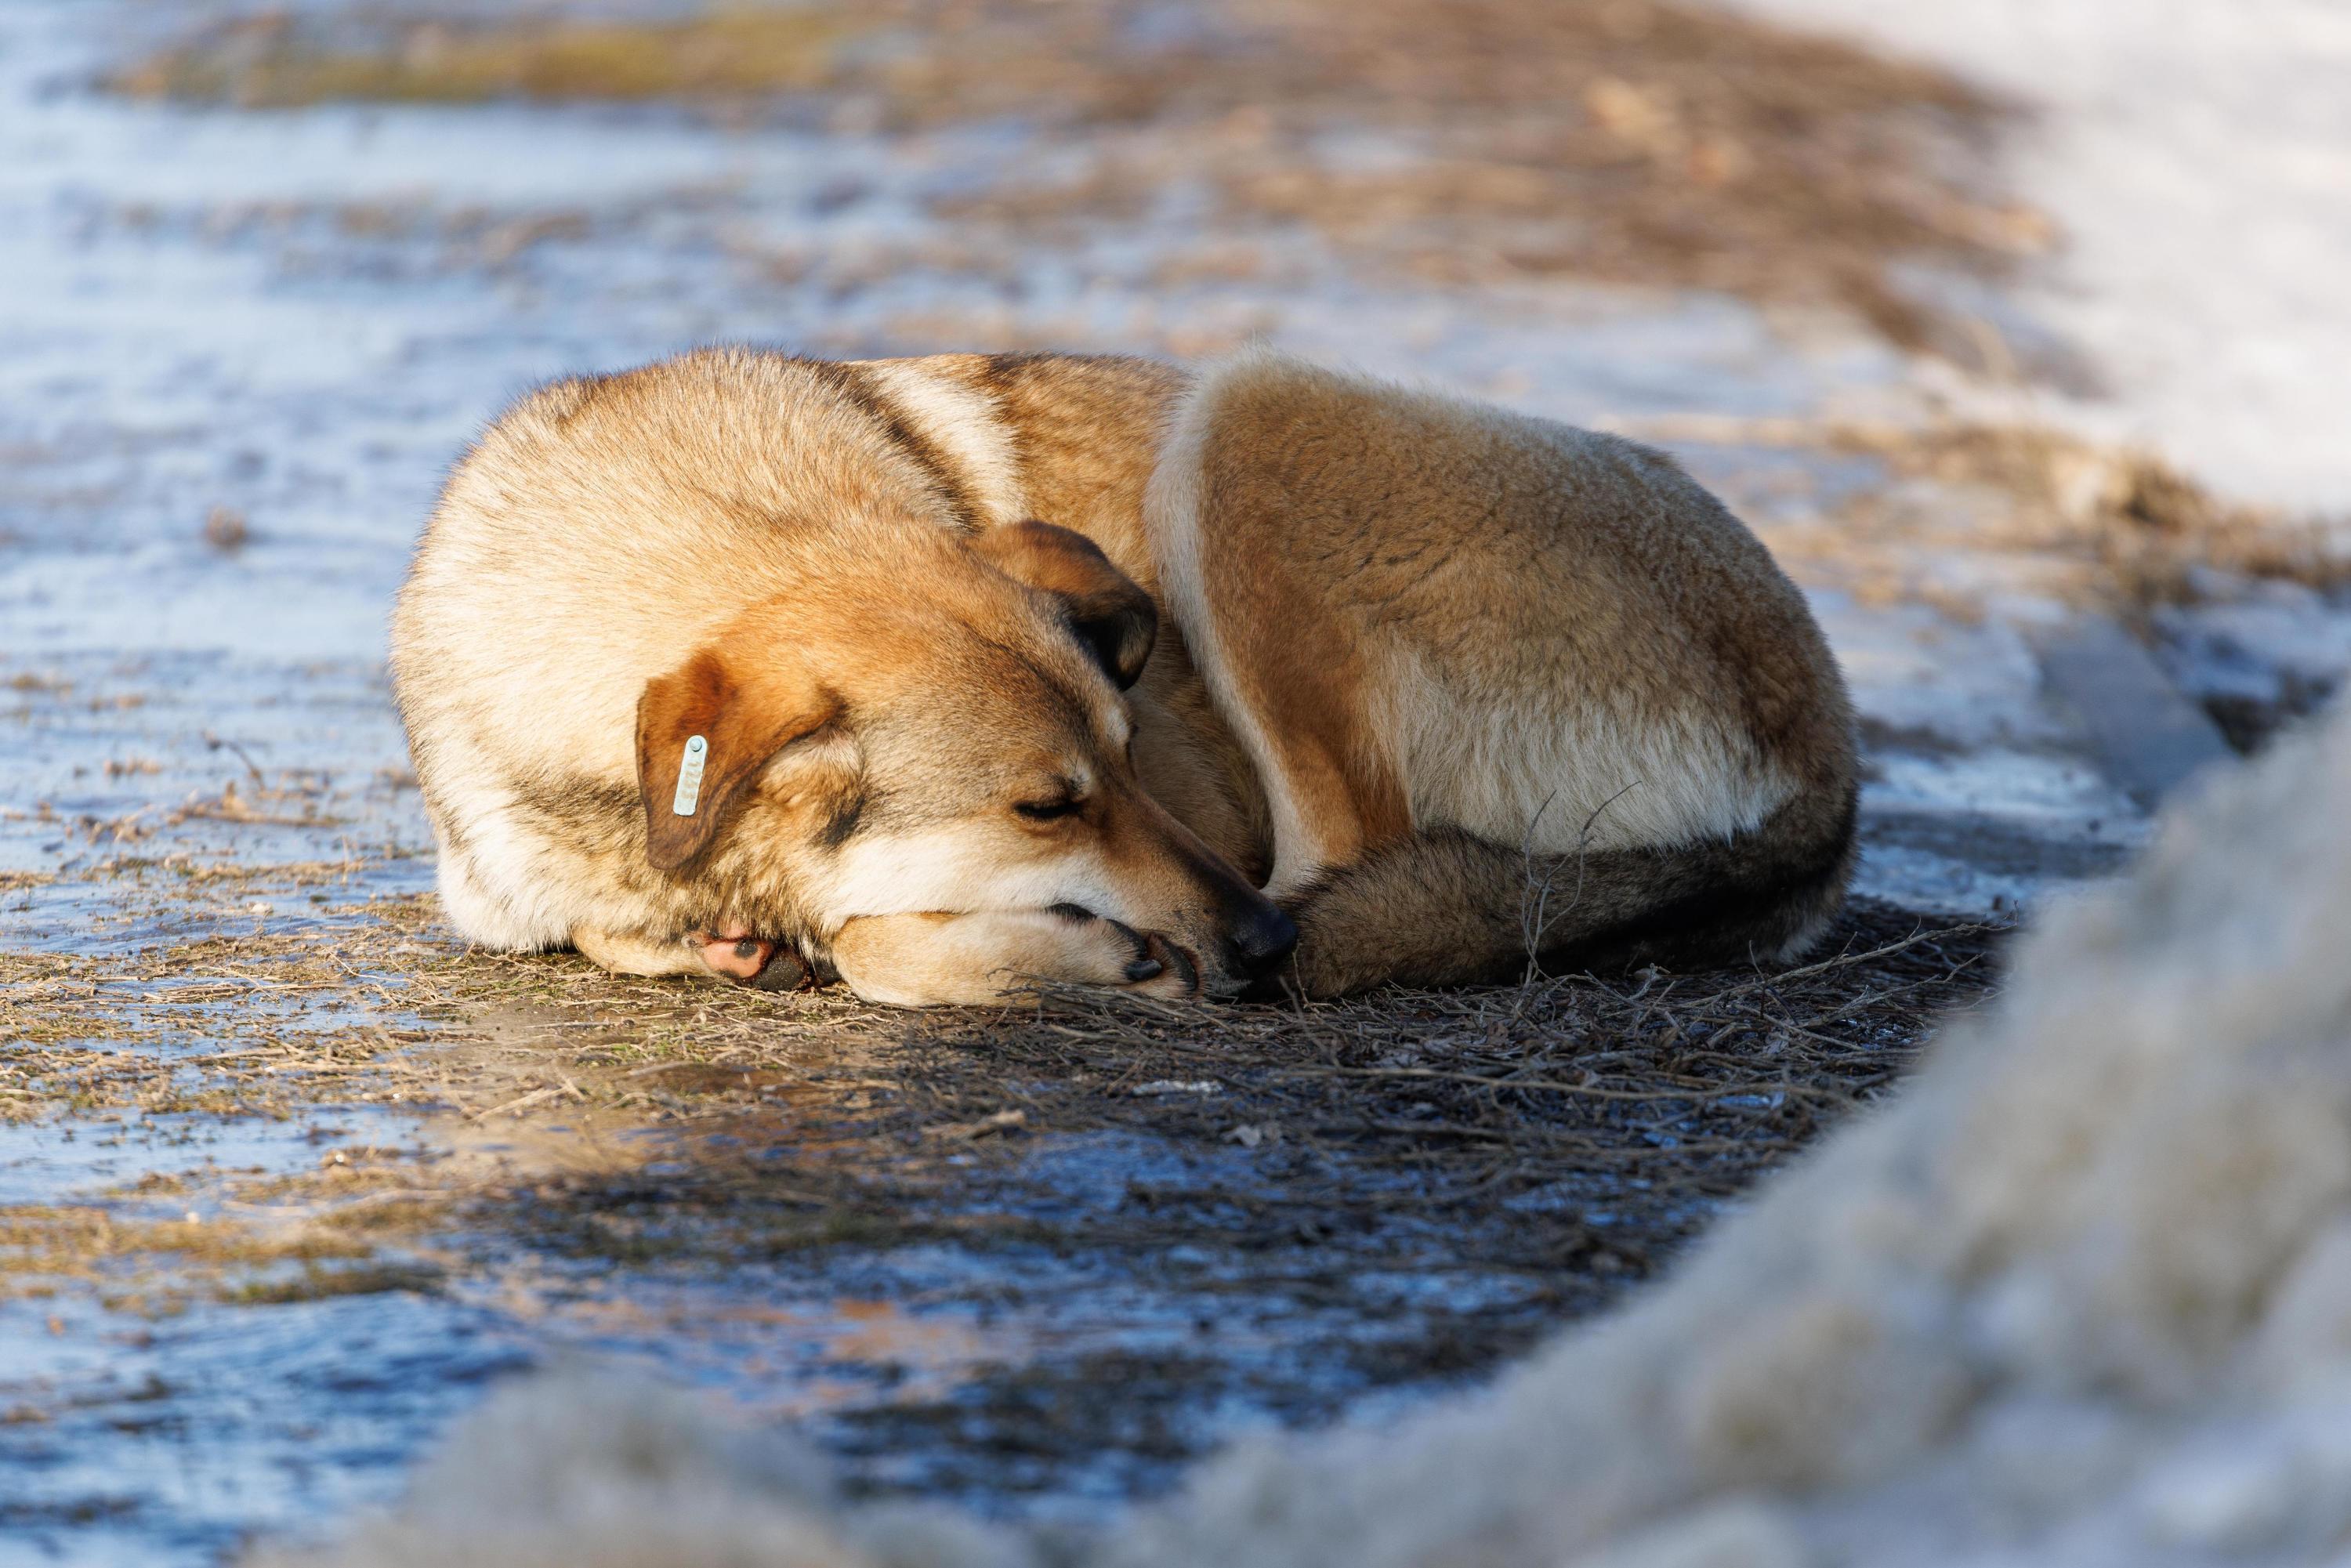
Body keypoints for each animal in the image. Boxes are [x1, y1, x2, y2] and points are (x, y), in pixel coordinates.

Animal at [390, 346, 1853, 1006]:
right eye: (1051, 804)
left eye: (1133, 757)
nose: (1260, 952)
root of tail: (1832, 748)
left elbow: (872, 941)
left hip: (1251, 418)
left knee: (1343, 858)